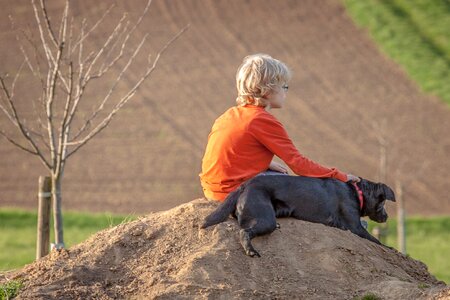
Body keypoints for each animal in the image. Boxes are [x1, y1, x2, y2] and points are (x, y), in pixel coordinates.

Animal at [202, 176, 396, 258]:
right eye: (383, 203)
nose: (386, 217)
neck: (357, 192)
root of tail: (245, 185)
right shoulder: (354, 227)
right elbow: (378, 242)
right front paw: (391, 248)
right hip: (266, 219)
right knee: (244, 232)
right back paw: (251, 251)